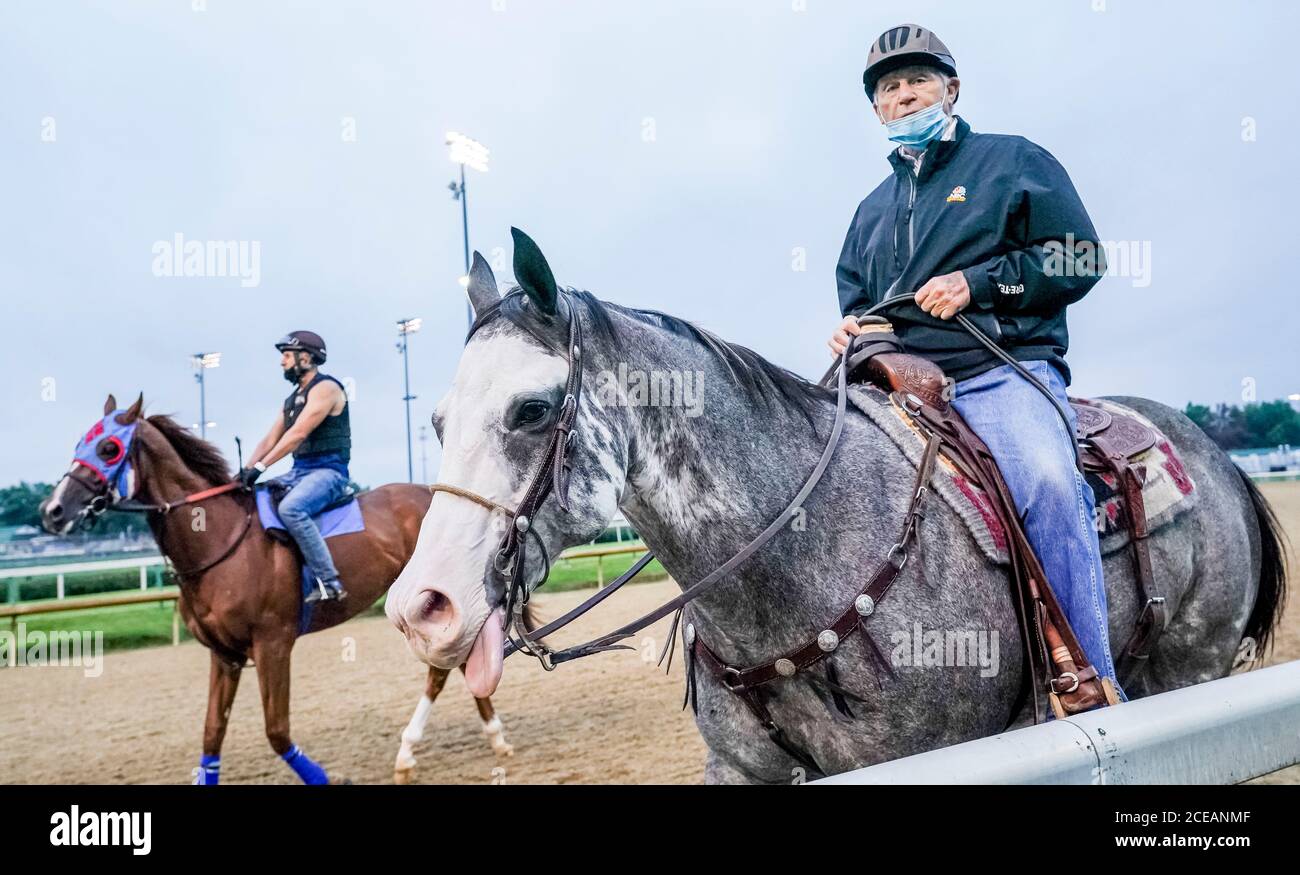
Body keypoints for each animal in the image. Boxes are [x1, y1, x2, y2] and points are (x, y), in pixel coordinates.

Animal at [41, 395, 506, 785]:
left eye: (108, 449)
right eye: (81, 442)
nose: (53, 510)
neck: (219, 539)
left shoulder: (273, 644)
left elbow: (277, 731)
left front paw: (324, 778)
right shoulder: (224, 655)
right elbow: (212, 734)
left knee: (442, 671)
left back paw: (430, 747)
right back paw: (480, 736)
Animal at [382, 234, 1279, 785]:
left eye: (532, 409)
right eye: (437, 422)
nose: (421, 607)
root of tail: (1213, 453)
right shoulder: (744, 768)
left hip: (1191, 662)